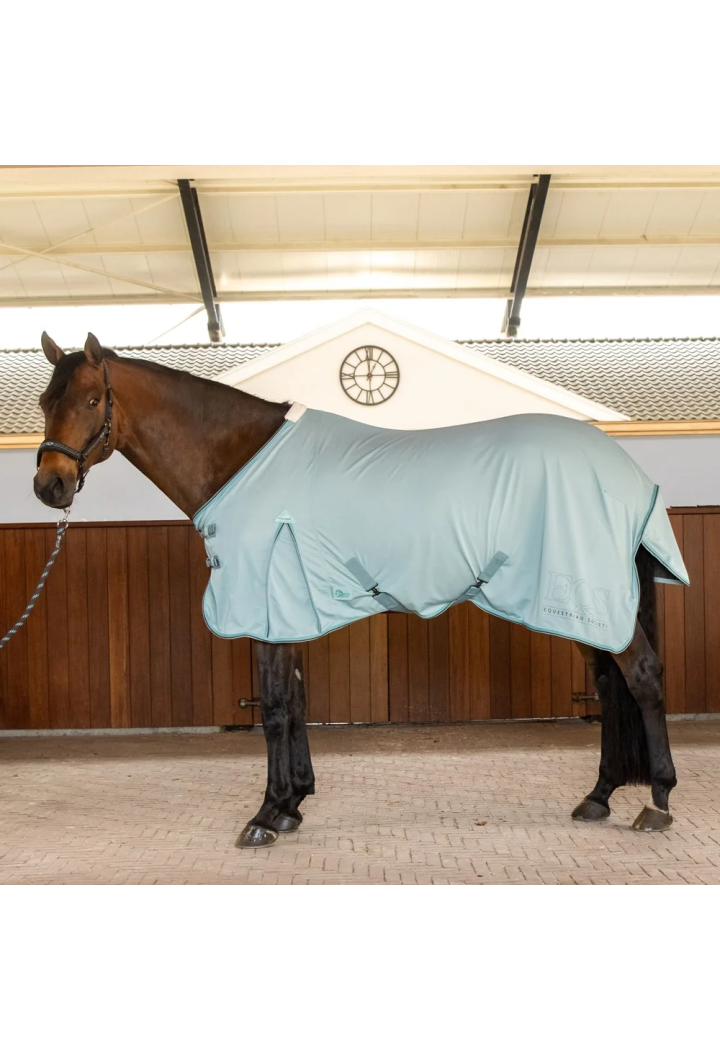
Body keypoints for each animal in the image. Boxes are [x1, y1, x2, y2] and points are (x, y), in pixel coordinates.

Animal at [33, 331, 681, 846]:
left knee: (642, 677)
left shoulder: (267, 609)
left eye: (92, 399)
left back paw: (657, 802)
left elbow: (274, 708)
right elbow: (296, 700)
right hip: (578, 606)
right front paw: (292, 804)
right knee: (608, 686)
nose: (49, 485)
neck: (241, 461)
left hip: (588, 598)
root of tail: (627, 471)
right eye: (45, 401)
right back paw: (598, 797)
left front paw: (264, 817)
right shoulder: (288, 612)